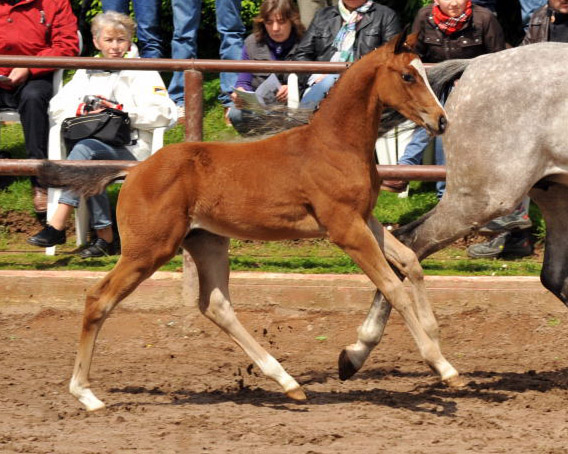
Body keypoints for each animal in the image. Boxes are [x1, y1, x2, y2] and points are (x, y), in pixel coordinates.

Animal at [38, 30, 462, 410]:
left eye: (424, 73)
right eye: (408, 76)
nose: (442, 121)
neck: (334, 145)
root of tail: (134, 171)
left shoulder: (365, 219)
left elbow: (410, 262)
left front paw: (437, 345)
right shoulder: (345, 228)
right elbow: (393, 287)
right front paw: (441, 366)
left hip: (206, 241)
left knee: (216, 306)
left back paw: (288, 383)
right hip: (148, 249)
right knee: (99, 299)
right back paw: (86, 395)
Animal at [340, 42, 568, 380]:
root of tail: (475, 64)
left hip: (554, 193)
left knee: (553, 275)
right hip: (484, 198)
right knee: (409, 242)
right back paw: (362, 351)